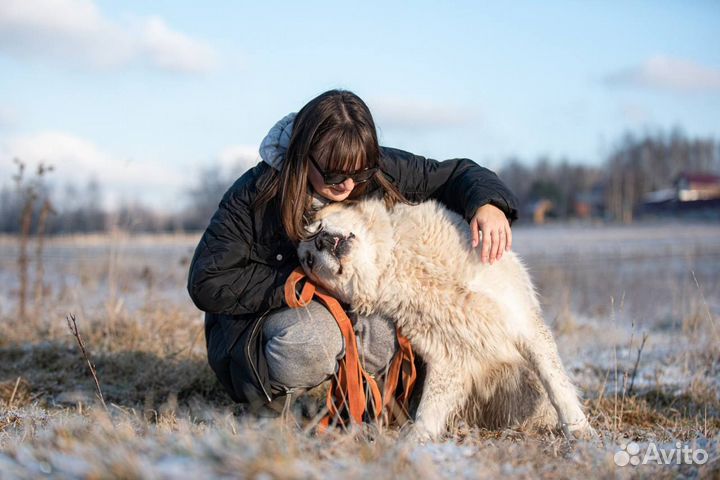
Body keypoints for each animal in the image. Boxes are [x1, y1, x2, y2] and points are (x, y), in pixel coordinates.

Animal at [296, 197, 592, 440]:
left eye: (319, 227)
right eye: (309, 261)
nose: (321, 242)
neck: (394, 264)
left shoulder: (522, 323)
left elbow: (556, 384)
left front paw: (579, 429)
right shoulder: (447, 358)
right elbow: (428, 412)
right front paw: (414, 443)